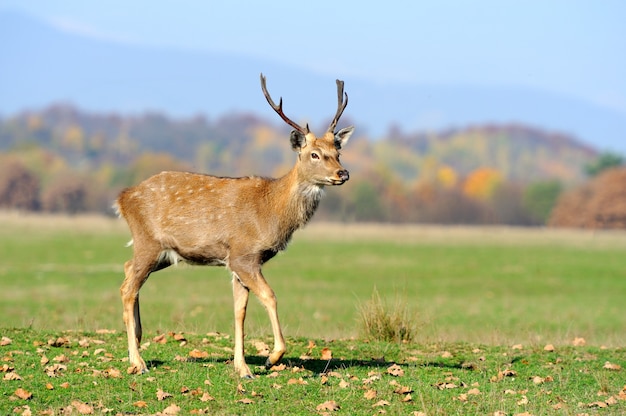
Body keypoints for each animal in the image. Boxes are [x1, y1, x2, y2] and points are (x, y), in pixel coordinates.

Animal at [114, 73, 354, 378]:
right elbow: (270, 296)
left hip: (163, 253)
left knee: (127, 270)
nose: (342, 173)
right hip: (148, 242)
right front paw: (270, 358)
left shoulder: (238, 263)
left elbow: (240, 311)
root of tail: (122, 198)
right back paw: (138, 361)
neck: (271, 212)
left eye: (337, 150)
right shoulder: (243, 255)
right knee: (127, 287)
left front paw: (242, 367)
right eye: (314, 154)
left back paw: (139, 338)